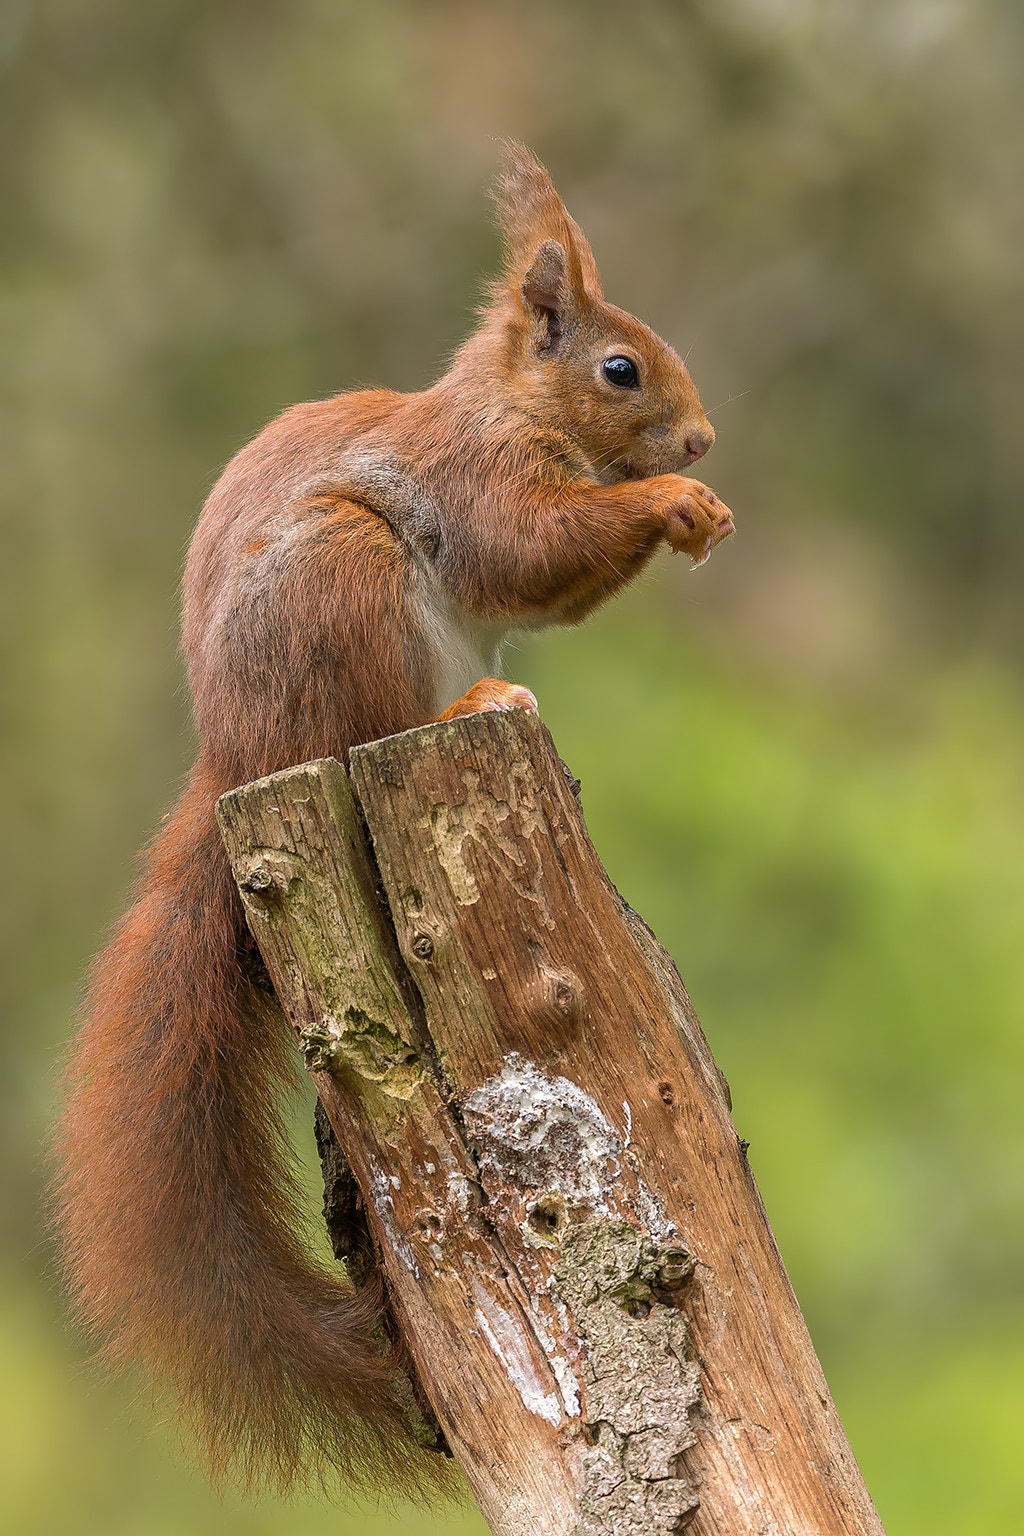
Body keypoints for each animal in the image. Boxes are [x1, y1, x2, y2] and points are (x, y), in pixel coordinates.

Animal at [53, 144, 734, 1499]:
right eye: (617, 369)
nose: (699, 437)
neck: (511, 407)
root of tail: (235, 763)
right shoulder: (478, 485)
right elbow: (530, 547)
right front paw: (676, 496)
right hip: (344, 586)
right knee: (363, 721)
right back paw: (474, 701)